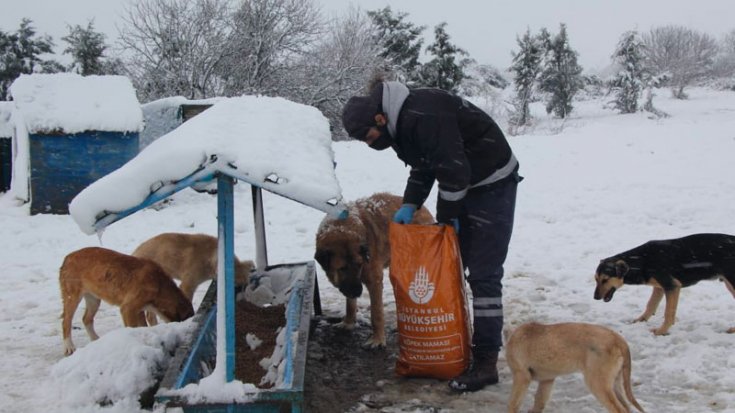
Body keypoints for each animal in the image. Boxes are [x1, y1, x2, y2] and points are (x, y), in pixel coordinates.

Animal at [60, 246, 194, 356]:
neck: (159, 284)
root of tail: (68, 257)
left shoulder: (139, 310)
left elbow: (143, 326)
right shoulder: (128, 309)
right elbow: (132, 328)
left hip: (94, 299)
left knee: (86, 319)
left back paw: (95, 339)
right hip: (72, 298)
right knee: (66, 321)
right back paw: (69, 346)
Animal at [314, 192, 434, 346]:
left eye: (359, 264)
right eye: (342, 268)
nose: (358, 292)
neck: (342, 226)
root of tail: (423, 209)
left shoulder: (374, 281)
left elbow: (376, 312)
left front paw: (377, 339)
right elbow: (350, 304)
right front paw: (348, 323)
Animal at [506, 322, 644, 412]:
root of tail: (618, 339)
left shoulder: (521, 376)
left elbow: (513, 404)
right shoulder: (547, 380)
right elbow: (539, 402)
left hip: (597, 384)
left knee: (619, 410)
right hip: (614, 383)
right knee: (627, 407)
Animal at [592, 232, 735, 334]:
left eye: (605, 279)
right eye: (596, 279)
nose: (595, 297)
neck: (641, 261)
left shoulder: (672, 286)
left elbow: (668, 312)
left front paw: (661, 331)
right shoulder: (659, 287)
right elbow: (650, 305)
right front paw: (641, 320)